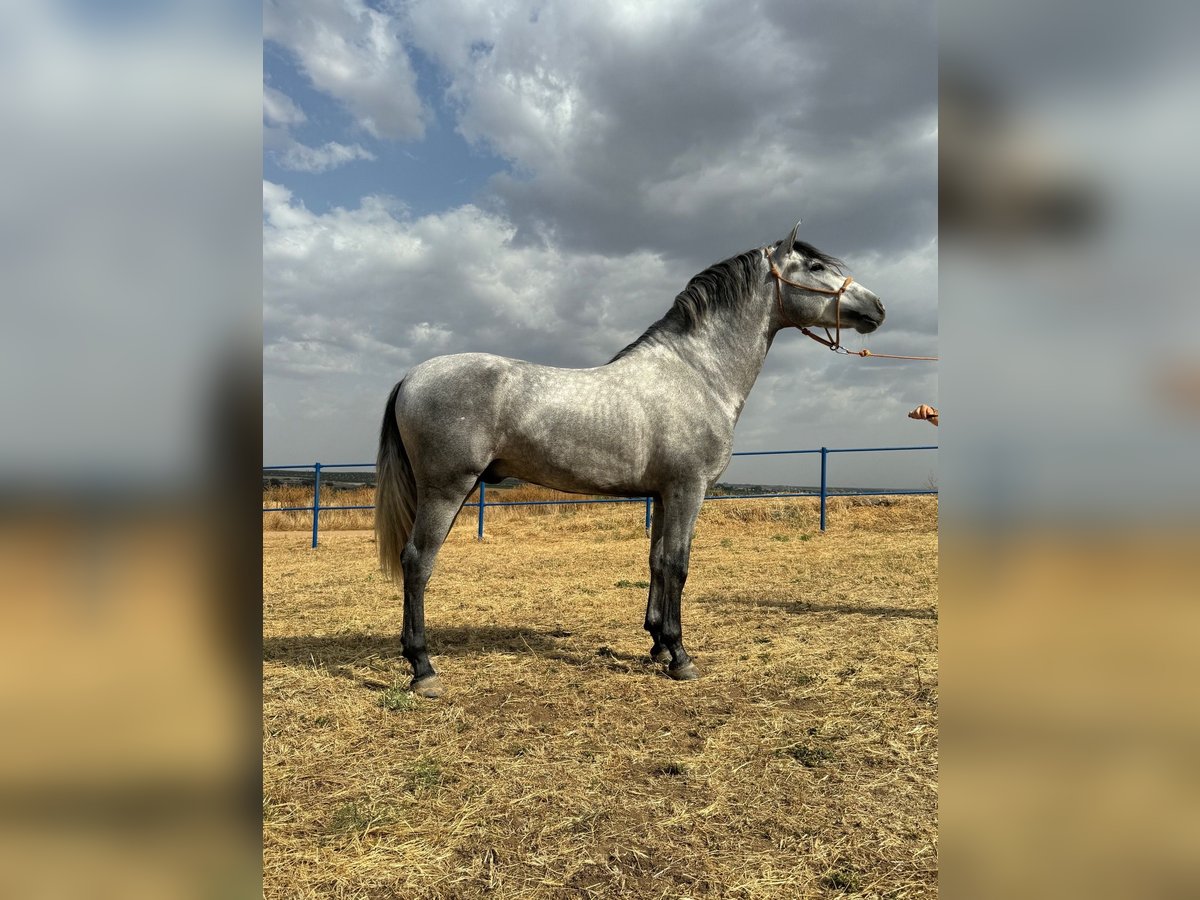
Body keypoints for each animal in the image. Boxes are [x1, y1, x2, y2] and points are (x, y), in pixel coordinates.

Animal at [379, 222, 888, 700]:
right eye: (816, 267)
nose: (878, 307)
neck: (697, 374)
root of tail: (411, 376)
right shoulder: (688, 489)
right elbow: (679, 564)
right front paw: (680, 656)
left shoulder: (663, 494)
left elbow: (657, 561)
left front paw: (658, 643)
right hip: (447, 488)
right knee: (418, 561)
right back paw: (423, 668)